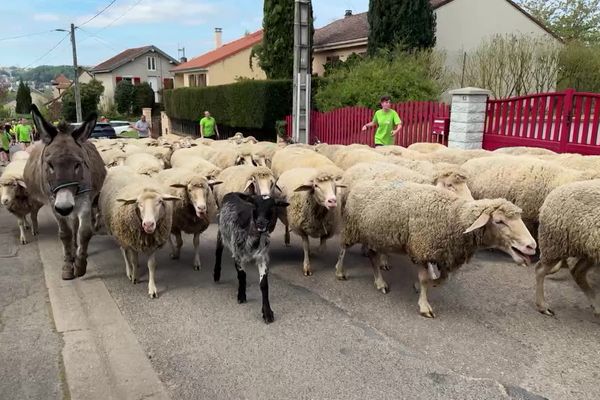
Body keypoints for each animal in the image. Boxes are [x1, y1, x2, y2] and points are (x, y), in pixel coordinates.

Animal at [214, 192, 290, 324]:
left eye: (272, 207)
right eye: (255, 205)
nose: (261, 223)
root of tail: (231, 193)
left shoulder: (262, 257)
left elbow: (264, 285)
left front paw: (267, 313)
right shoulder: (237, 254)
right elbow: (242, 276)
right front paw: (241, 296)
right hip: (221, 232)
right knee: (218, 252)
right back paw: (216, 274)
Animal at [336, 180, 536, 318]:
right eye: (499, 221)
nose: (532, 246)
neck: (454, 216)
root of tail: (360, 184)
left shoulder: (443, 254)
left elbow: (442, 279)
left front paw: (420, 286)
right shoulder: (421, 249)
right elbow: (425, 279)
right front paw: (424, 306)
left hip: (375, 236)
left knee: (373, 257)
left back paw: (380, 282)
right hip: (353, 228)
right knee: (343, 249)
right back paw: (340, 272)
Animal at [536, 180, 600, 318]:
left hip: (586, 250)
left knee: (578, 272)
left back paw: (597, 306)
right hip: (556, 244)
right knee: (539, 270)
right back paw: (543, 306)